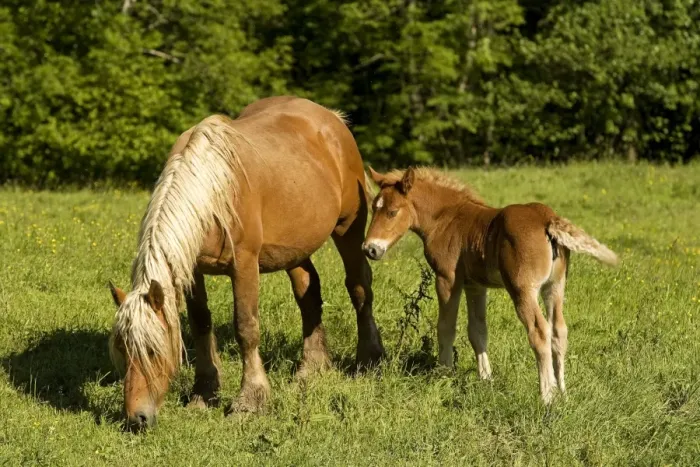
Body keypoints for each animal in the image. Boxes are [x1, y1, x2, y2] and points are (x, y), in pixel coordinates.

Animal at [107, 96, 385, 431]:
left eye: (152, 349)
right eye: (121, 348)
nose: (137, 418)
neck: (213, 187)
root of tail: (331, 118)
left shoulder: (244, 264)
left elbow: (246, 327)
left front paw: (250, 400)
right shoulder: (194, 270)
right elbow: (201, 323)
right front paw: (204, 393)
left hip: (348, 230)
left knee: (358, 287)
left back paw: (369, 359)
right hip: (295, 247)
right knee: (308, 292)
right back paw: (311, 368)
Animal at [362, 167, 618, 404]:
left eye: (393, 212)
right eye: (374, 208)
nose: (370, 249)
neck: (446, 219)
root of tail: (547, 219)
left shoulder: (447, 279)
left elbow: (446, 328)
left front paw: (443, 374)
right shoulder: (475, 285)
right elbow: (477, 331)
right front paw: (486, 379)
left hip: (523, 289)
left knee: (539, 331)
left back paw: (547, 397)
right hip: (555, 286)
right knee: (559, 330)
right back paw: (563, 394)